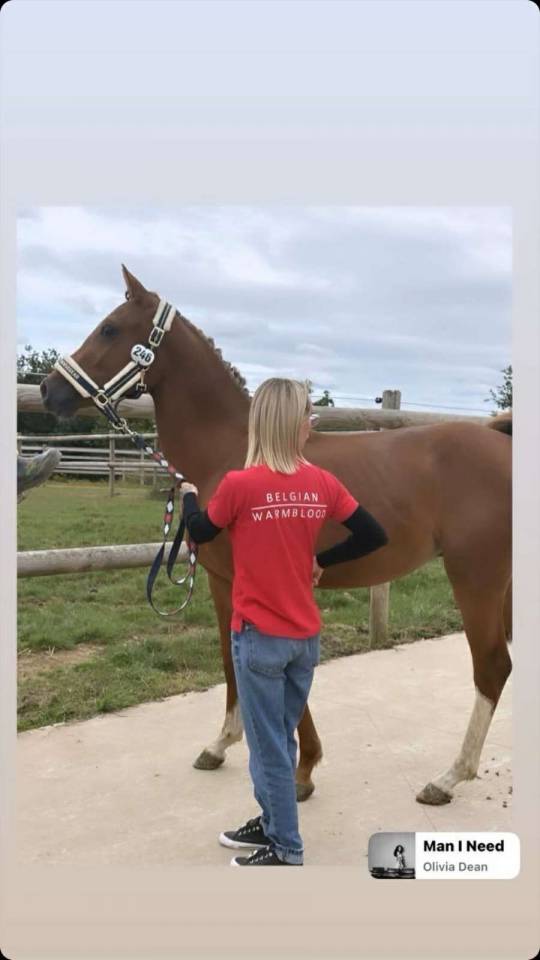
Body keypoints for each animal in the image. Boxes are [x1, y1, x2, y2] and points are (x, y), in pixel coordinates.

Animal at [40, 265, 512, 807]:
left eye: (110, 329)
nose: (48, 390)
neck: (236, 449)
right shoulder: (226, 581)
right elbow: (230, 658)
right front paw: (225, 745)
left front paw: (299, 768)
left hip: (475, 577)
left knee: (492, 666)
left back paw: (449, 777)